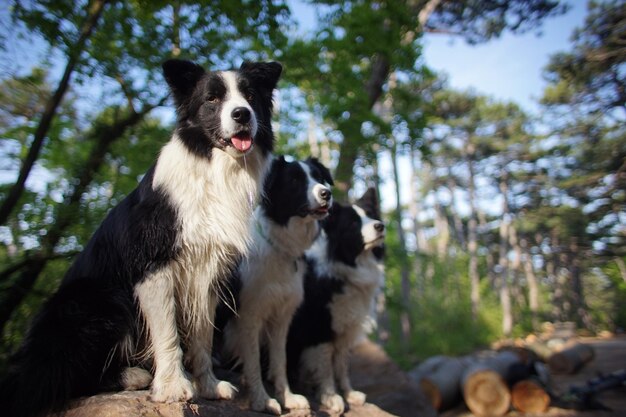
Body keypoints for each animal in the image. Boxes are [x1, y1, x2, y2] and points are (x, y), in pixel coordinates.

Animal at [0, 58, 280, 416]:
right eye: (212, 99)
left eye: (250, 96)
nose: (242, 114)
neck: (213, 167)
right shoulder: (153, 264)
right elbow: (168, 331)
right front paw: (173, 387)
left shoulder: (208, 271)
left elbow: (202, 334)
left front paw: (208, 385)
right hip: (95, 302)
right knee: (60, 379)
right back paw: (131, 375)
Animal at [221, 155, 334, 412]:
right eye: (294, 181)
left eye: (319, 177)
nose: (327, 193)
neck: (280, 247)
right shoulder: (249, 314)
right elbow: (253, 361)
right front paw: (262, 400)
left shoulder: (282, 316)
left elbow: (279, 360)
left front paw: (288, 398)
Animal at [288, 188, 386, 412]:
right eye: (353, 223)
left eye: (371, 215)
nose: (380, 225)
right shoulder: (320, 326)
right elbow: (325, 365)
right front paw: (331, 397)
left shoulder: (344, 327)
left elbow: (341, 365)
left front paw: (349, 394)